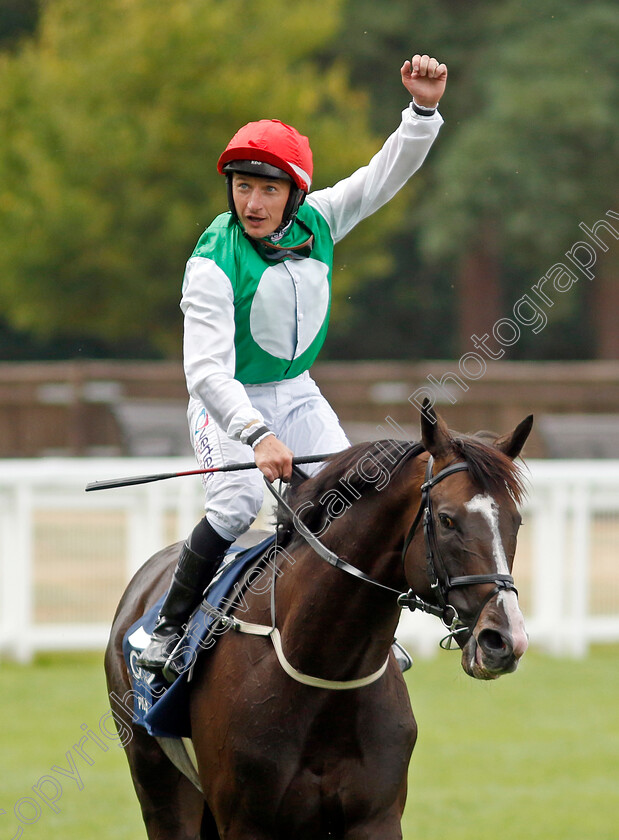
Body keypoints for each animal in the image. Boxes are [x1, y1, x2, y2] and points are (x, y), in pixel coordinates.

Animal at [105, 404, 532, 836]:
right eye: (446, 520)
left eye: (516, 521)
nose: (503, 640)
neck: (324, 673)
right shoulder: (246, 824)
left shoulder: (376, 818)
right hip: (160, 787)